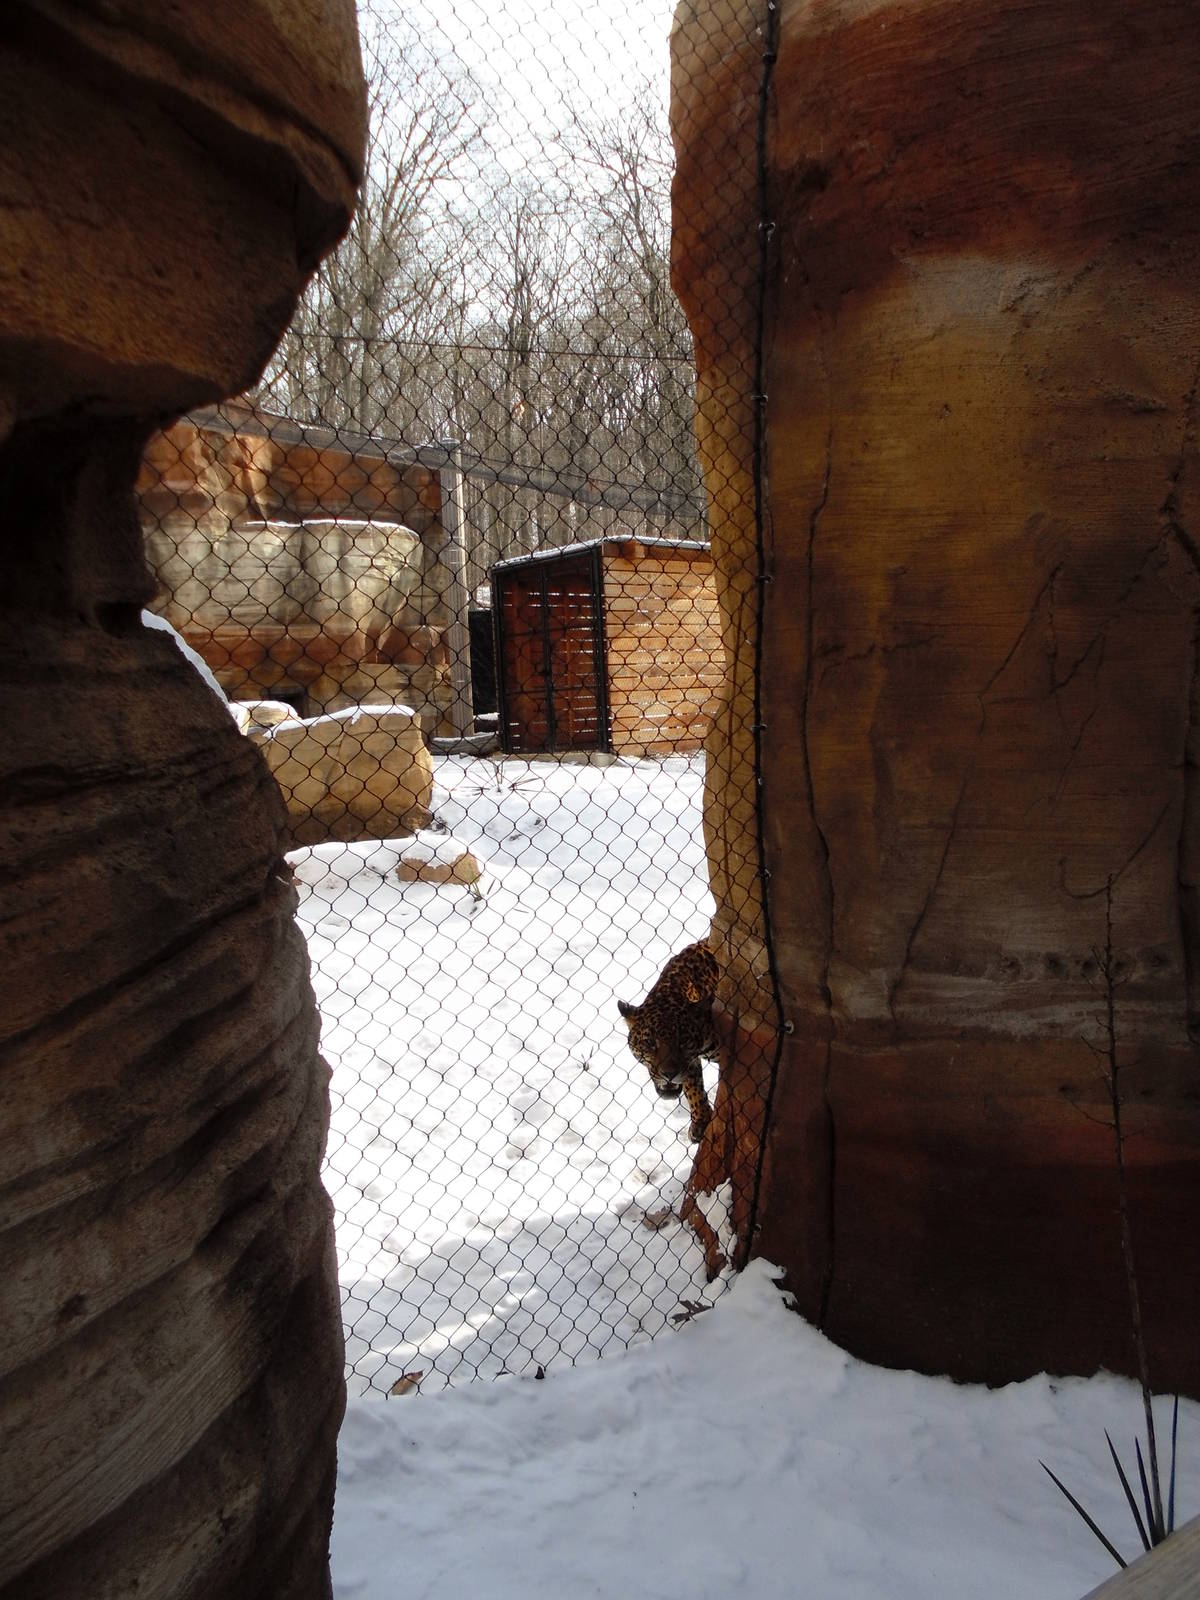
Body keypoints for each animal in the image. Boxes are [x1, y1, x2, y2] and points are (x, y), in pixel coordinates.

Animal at [617, 941, 719, 1142]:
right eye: (650, 1043)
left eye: (683, 1040)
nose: (669, 1074)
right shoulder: (691, 1062)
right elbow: (692, 1085)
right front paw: (701, 1120)